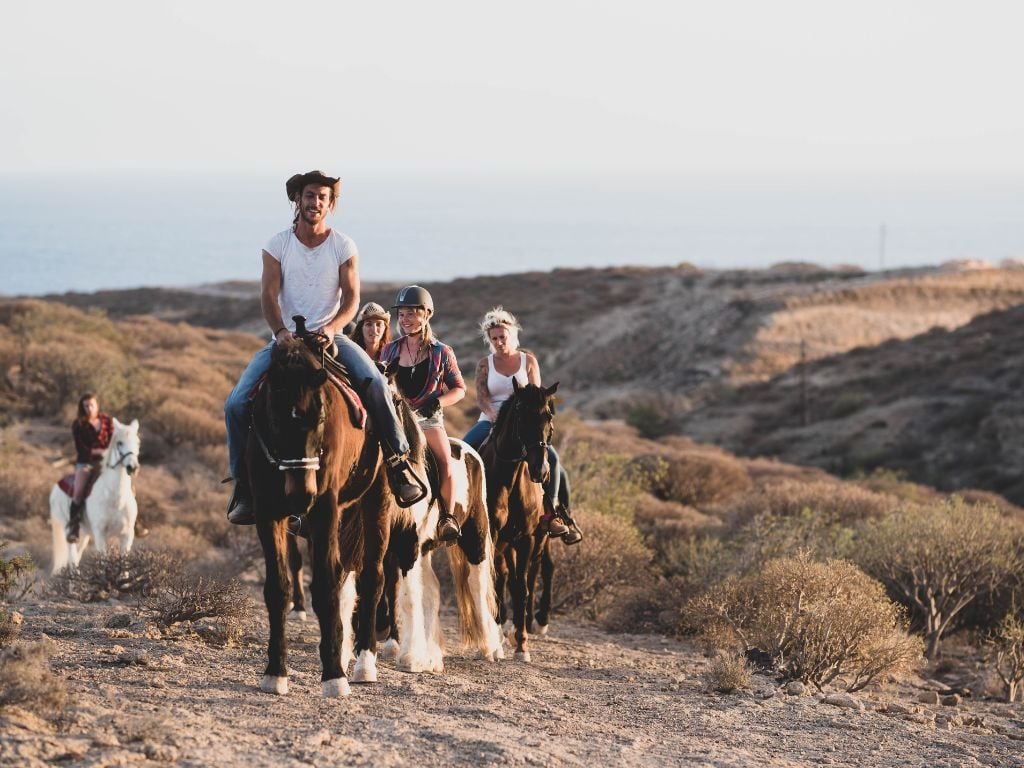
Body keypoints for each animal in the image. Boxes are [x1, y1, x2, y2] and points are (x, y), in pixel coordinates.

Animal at [49, 417, 140, 573]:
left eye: (137, 442)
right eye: (120, 443)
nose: (132, 467)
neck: (115, 499)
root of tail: (56, 486)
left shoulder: (127, 536)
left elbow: (125, 569)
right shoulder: (100, 535)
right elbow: (104, 563)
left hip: (84, 534)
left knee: (76, 557)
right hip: (68, 529)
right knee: (73, 560)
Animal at [248, 335, 391, 696]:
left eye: (321, 418)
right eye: (274, 420)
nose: (301, 495)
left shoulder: (324, 509)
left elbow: (326, 587)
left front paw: (333, 676)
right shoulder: (268, 512)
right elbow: (277, 588)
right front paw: (275, 672)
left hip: (376, 504)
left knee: (372, 578)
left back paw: (364, 663)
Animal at [479, 378, 561, 663]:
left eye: (549, 415)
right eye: (522, 415)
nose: (540, 470)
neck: (510, 478)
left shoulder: (526, 538)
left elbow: (522, 588)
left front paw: (522, 645)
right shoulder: (493, 536)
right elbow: (496, 582)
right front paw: (495, 643)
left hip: (538, 539)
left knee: (539, 571)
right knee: (503, 577)